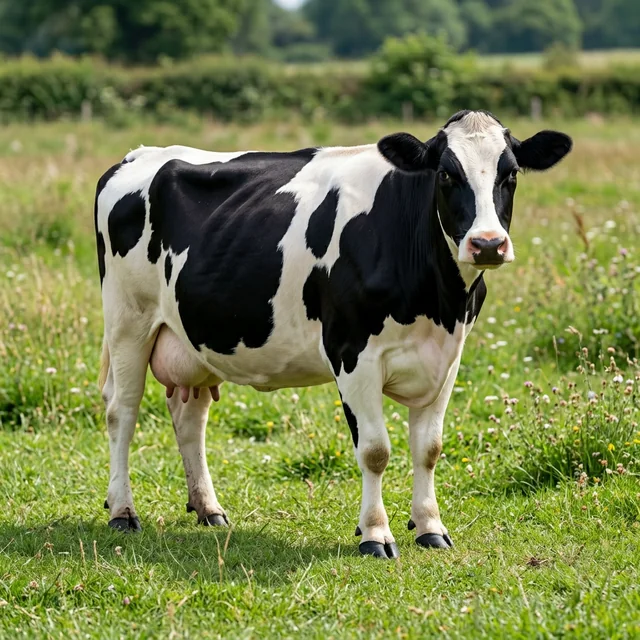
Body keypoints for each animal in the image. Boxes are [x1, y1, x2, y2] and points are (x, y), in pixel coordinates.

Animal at [95, 110, 571, 559]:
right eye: (446, 174)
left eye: (511, 174)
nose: (488, 244)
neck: (438, 301)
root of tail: (137, 155)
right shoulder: (353, 354)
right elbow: (376, 451)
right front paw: (376, 534)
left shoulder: (447, 359)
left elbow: (429, 448)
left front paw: (431, 528)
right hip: (127, 321)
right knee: (122, 411)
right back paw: (122, 511)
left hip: (194, 338)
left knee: (190, 418)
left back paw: (208, 508)